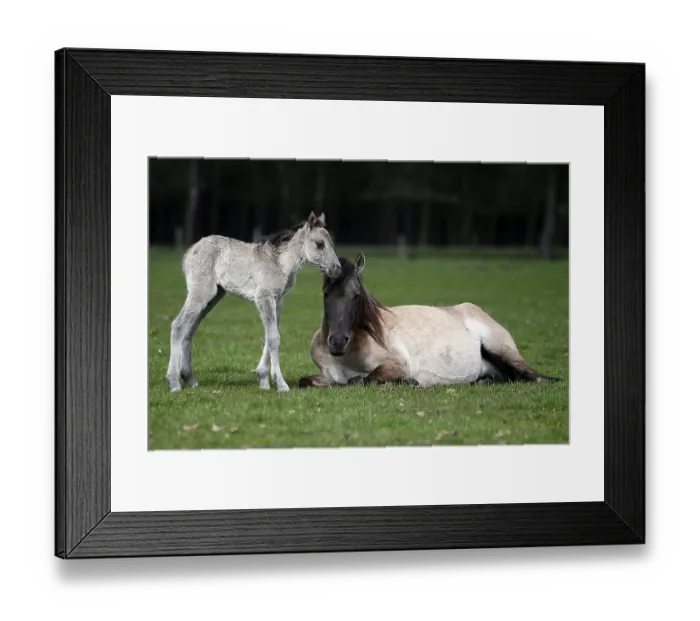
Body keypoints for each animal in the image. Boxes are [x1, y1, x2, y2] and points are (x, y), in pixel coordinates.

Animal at [166, 211, 342, 393]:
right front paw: (281, 384)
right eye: (320, 244)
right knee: (178, 325)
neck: (280, 262)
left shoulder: (278, 301)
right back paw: (174, 382)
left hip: (213, 297)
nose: (337, 269)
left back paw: (190, 379)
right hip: (201, 293)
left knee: (190, 328)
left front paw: (263, 380)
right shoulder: (264, 298)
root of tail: (190, 251)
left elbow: (271, 335)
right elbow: (274, 338)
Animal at [298, 254, 562, 389]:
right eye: (326, 294)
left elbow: (360, 380)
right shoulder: (327, 374)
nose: (337, 342)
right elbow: (307, 381)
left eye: (356, 295)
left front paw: (411, 382)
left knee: (531, 376)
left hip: (500, 348)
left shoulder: (395, 366)